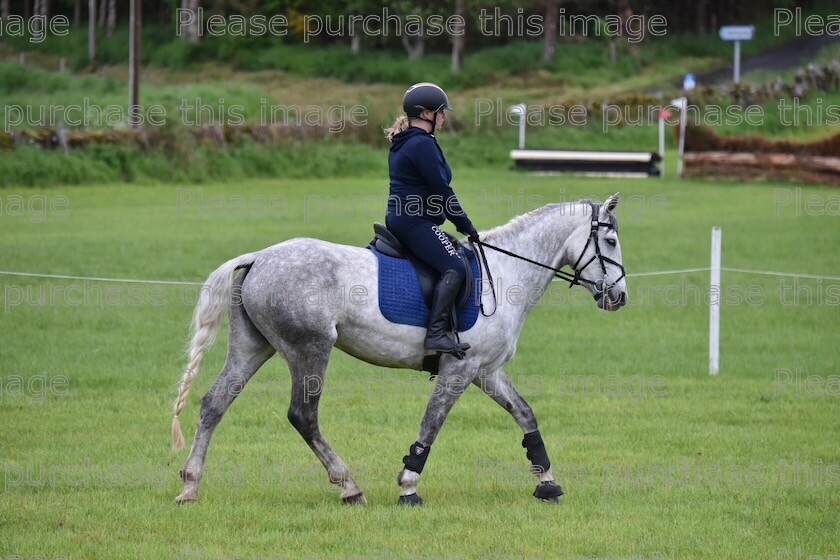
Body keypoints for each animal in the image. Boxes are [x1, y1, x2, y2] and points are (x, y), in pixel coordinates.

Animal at [171, 192, 628, 508]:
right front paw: (409, 487)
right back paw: (350, 487)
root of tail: (258, 258)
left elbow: (525, 415)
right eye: (609, 240)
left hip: (253, 347)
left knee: (214, 403)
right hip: (310, 349)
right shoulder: (459, 371)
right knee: (303, 416)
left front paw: (547, 481)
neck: (505, 272)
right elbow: (431, 425)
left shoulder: (486, 370)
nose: (619, 297)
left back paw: (191, 485)